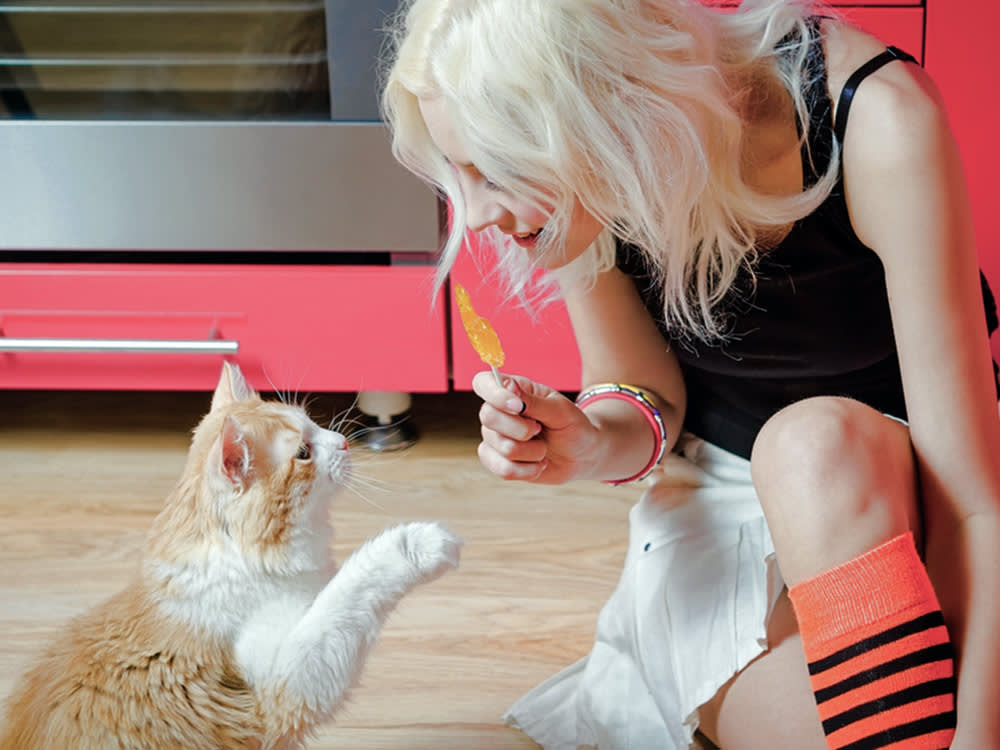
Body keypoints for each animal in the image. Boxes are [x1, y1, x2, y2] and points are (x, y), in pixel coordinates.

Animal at [0, 362, 460, 748]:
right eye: (303, 453)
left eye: (312, 422)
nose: (344, 441)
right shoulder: (287, 682)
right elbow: (349, 589)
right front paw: (419, 543)